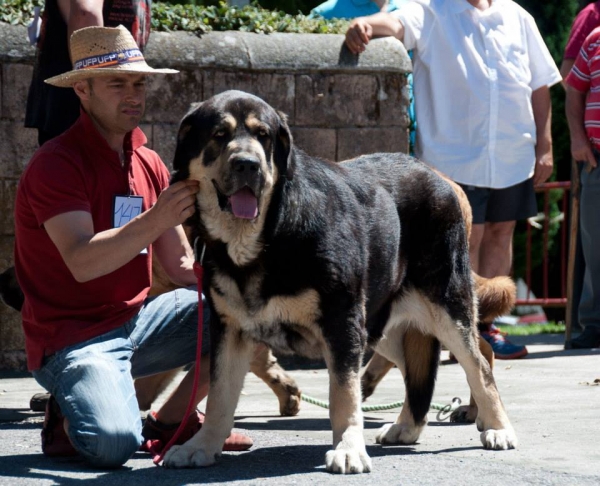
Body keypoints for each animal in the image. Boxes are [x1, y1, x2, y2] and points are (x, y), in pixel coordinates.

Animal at [156, 90, 520, 470]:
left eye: (263, 136)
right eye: (219, 135)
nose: (247, 165)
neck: (265, 236)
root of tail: (439, 177)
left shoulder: (341, 322)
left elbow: (344, 394)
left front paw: (348, 449)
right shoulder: (229, 330)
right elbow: (220, 396)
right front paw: (202, 444)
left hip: (443, 307)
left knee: (479, 364)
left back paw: (495, 426)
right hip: (381, 325)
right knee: (415, 368)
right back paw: (407, 426)